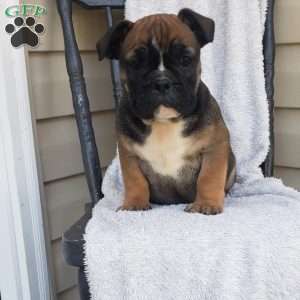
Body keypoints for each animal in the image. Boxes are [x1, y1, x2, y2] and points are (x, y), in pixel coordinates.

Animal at [97, 8, 236, 214]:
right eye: (136, 64)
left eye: (185, 60)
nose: (162, 82)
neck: (164, 121)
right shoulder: (129, 154)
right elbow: (134, 180)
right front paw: (134, 203)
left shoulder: (215, 146)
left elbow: (208, 178)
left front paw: (206, 204)